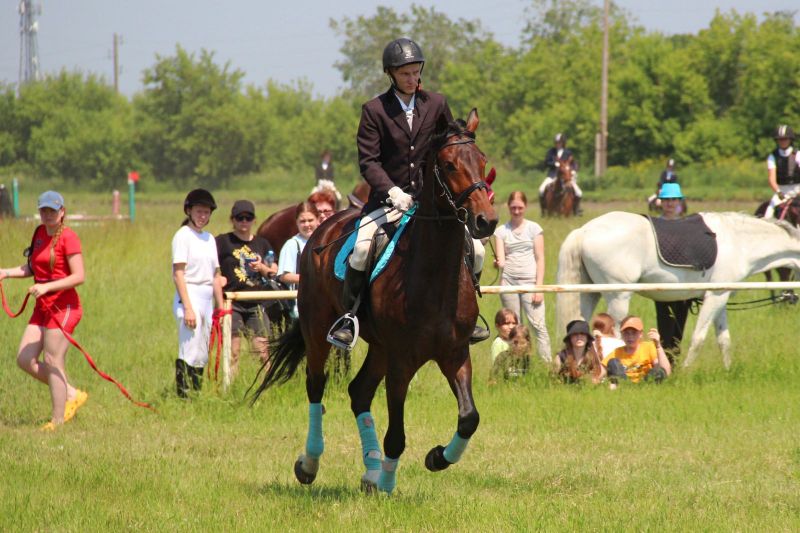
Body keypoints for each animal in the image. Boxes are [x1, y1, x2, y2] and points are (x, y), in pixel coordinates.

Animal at [251, 109, 498, 494]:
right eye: (449, 164)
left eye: (482, 160)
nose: (486, 221)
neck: (434, 274)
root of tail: (323, 227)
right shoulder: (401, 361)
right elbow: (396, 435)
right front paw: (387, 482)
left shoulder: (455, 354)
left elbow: (469, 418)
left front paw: (436, 458)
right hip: (319, 329)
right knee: (316, 386)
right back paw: (310, 464)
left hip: (379, 347)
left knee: (359, 392)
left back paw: (369, 469)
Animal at [556, 211, 800, 368]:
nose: (792, 297)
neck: (739, 243)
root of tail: (584, 230)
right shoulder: (715, 297)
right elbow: (698, 338)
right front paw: (685, 372)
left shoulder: (719, 297)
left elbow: (724, 340)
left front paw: (728, 371)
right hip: (618, 297)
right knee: (614, 335)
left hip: (590, 293)